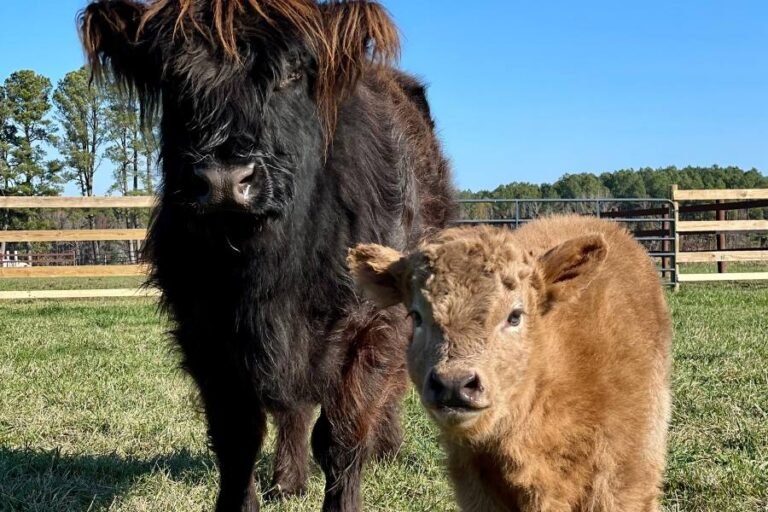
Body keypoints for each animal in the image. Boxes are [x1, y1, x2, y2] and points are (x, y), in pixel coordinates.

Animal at [78, 1, 456, 511]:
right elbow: (237, 438)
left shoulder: (374, 326)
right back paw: (288, 481)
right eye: (173, 76)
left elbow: (341, 437)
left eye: (293, 72)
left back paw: (386, 448)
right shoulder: (204, 330)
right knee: (292, 408)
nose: (223, 179)